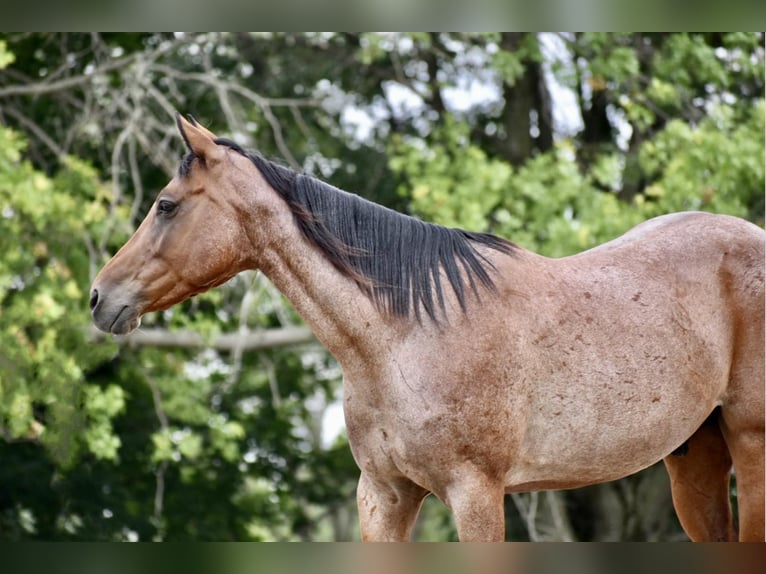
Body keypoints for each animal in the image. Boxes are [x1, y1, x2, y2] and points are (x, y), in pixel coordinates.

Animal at [88, 115, 760, 544]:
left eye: (166, 204)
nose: (99, 297)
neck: (402, 338)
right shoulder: (384, 497)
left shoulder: (476, 495)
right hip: (695, 460)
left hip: (751, 449)